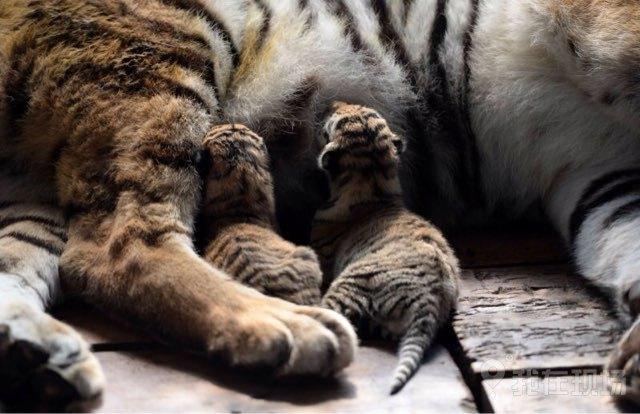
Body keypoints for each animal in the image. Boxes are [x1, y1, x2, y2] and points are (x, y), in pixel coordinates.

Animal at [311, 102, 460, 394]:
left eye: (333, 121)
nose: (333, 103)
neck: (373, 182)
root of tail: (429, 302)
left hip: (349, 283)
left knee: (335, 316)